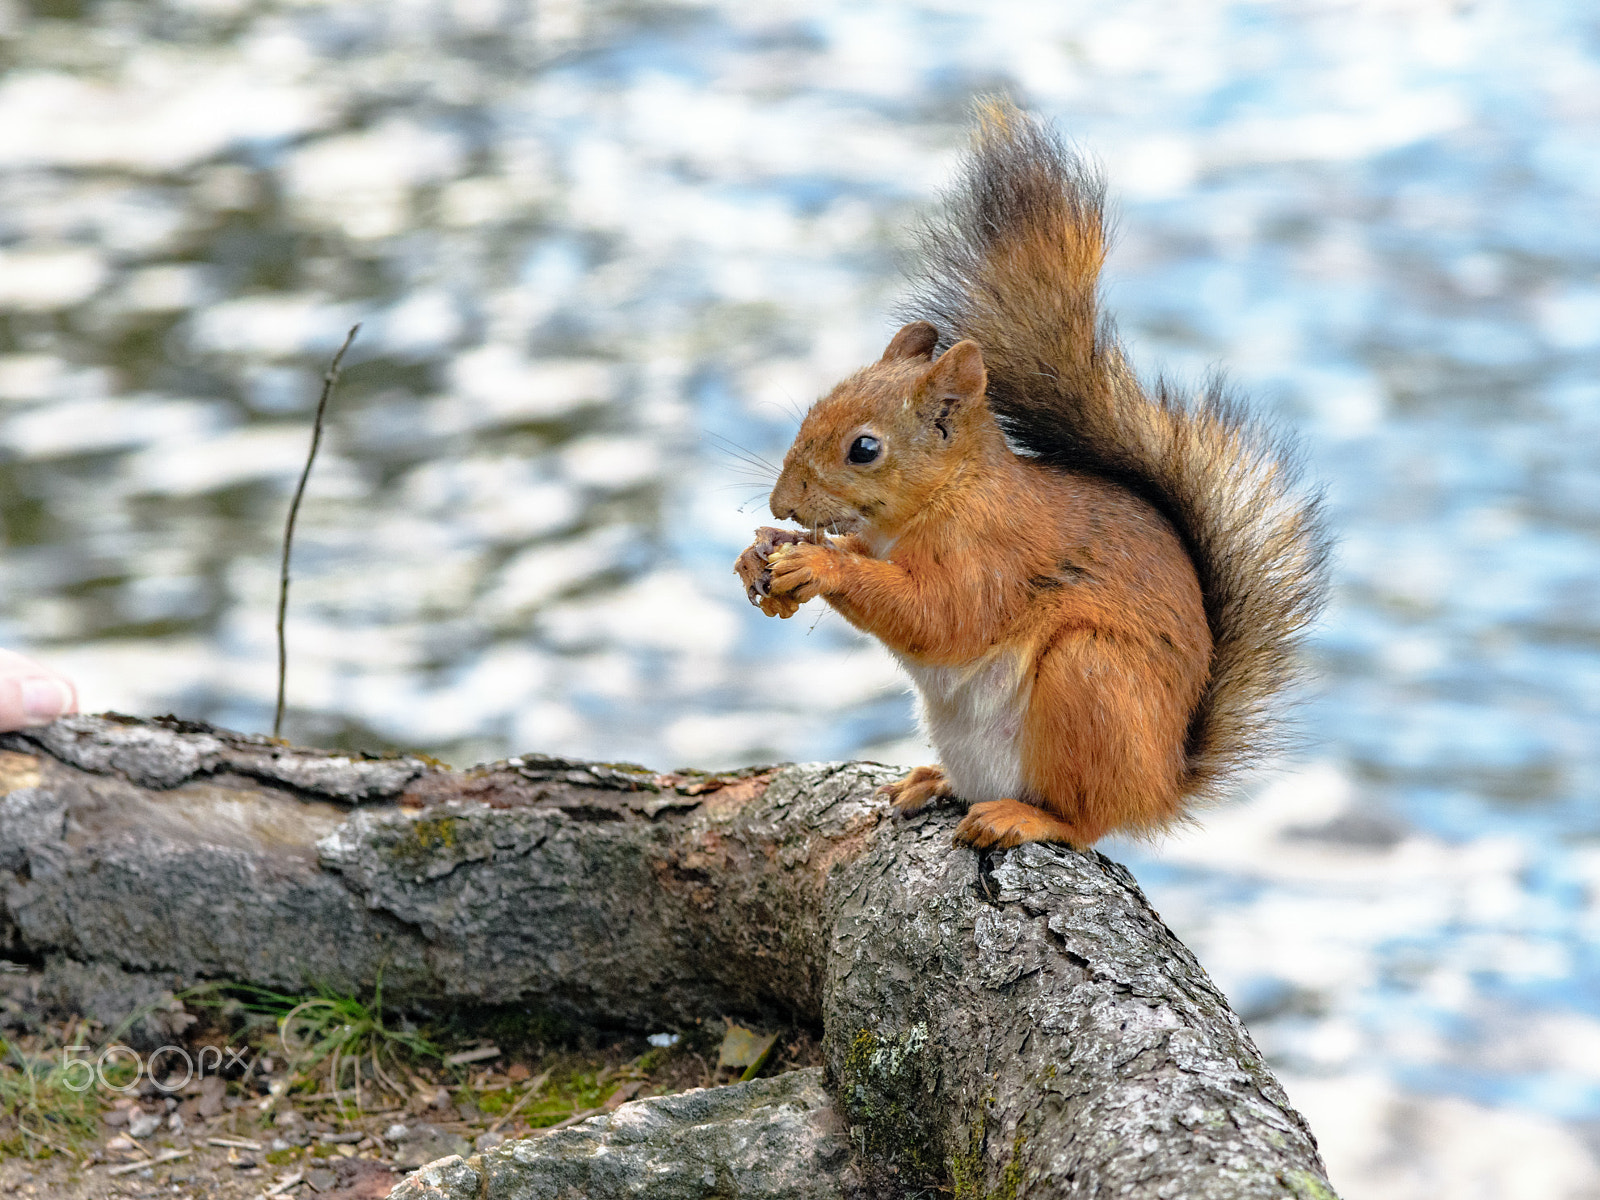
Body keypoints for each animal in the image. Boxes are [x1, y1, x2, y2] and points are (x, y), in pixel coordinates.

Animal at [734, 100, 1330, 850]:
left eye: (863, 449)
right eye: (818, 403)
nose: (781, 504)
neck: (942, 499)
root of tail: (1164, 785)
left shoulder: (993, 553)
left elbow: (941, 617)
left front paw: (820, 565)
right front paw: (761, 556)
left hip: (1090, 678)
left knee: (1086, 817)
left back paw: (1026, 815)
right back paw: (933, 780)